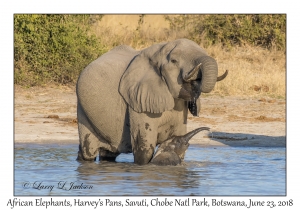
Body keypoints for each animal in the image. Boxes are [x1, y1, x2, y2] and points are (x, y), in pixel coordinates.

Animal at [75, 38, 227, 165]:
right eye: (174, 61)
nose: (195, 80)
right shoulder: (137, 101)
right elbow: (145, 150)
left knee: (107, 154)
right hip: (83, 109)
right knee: (88, 151)